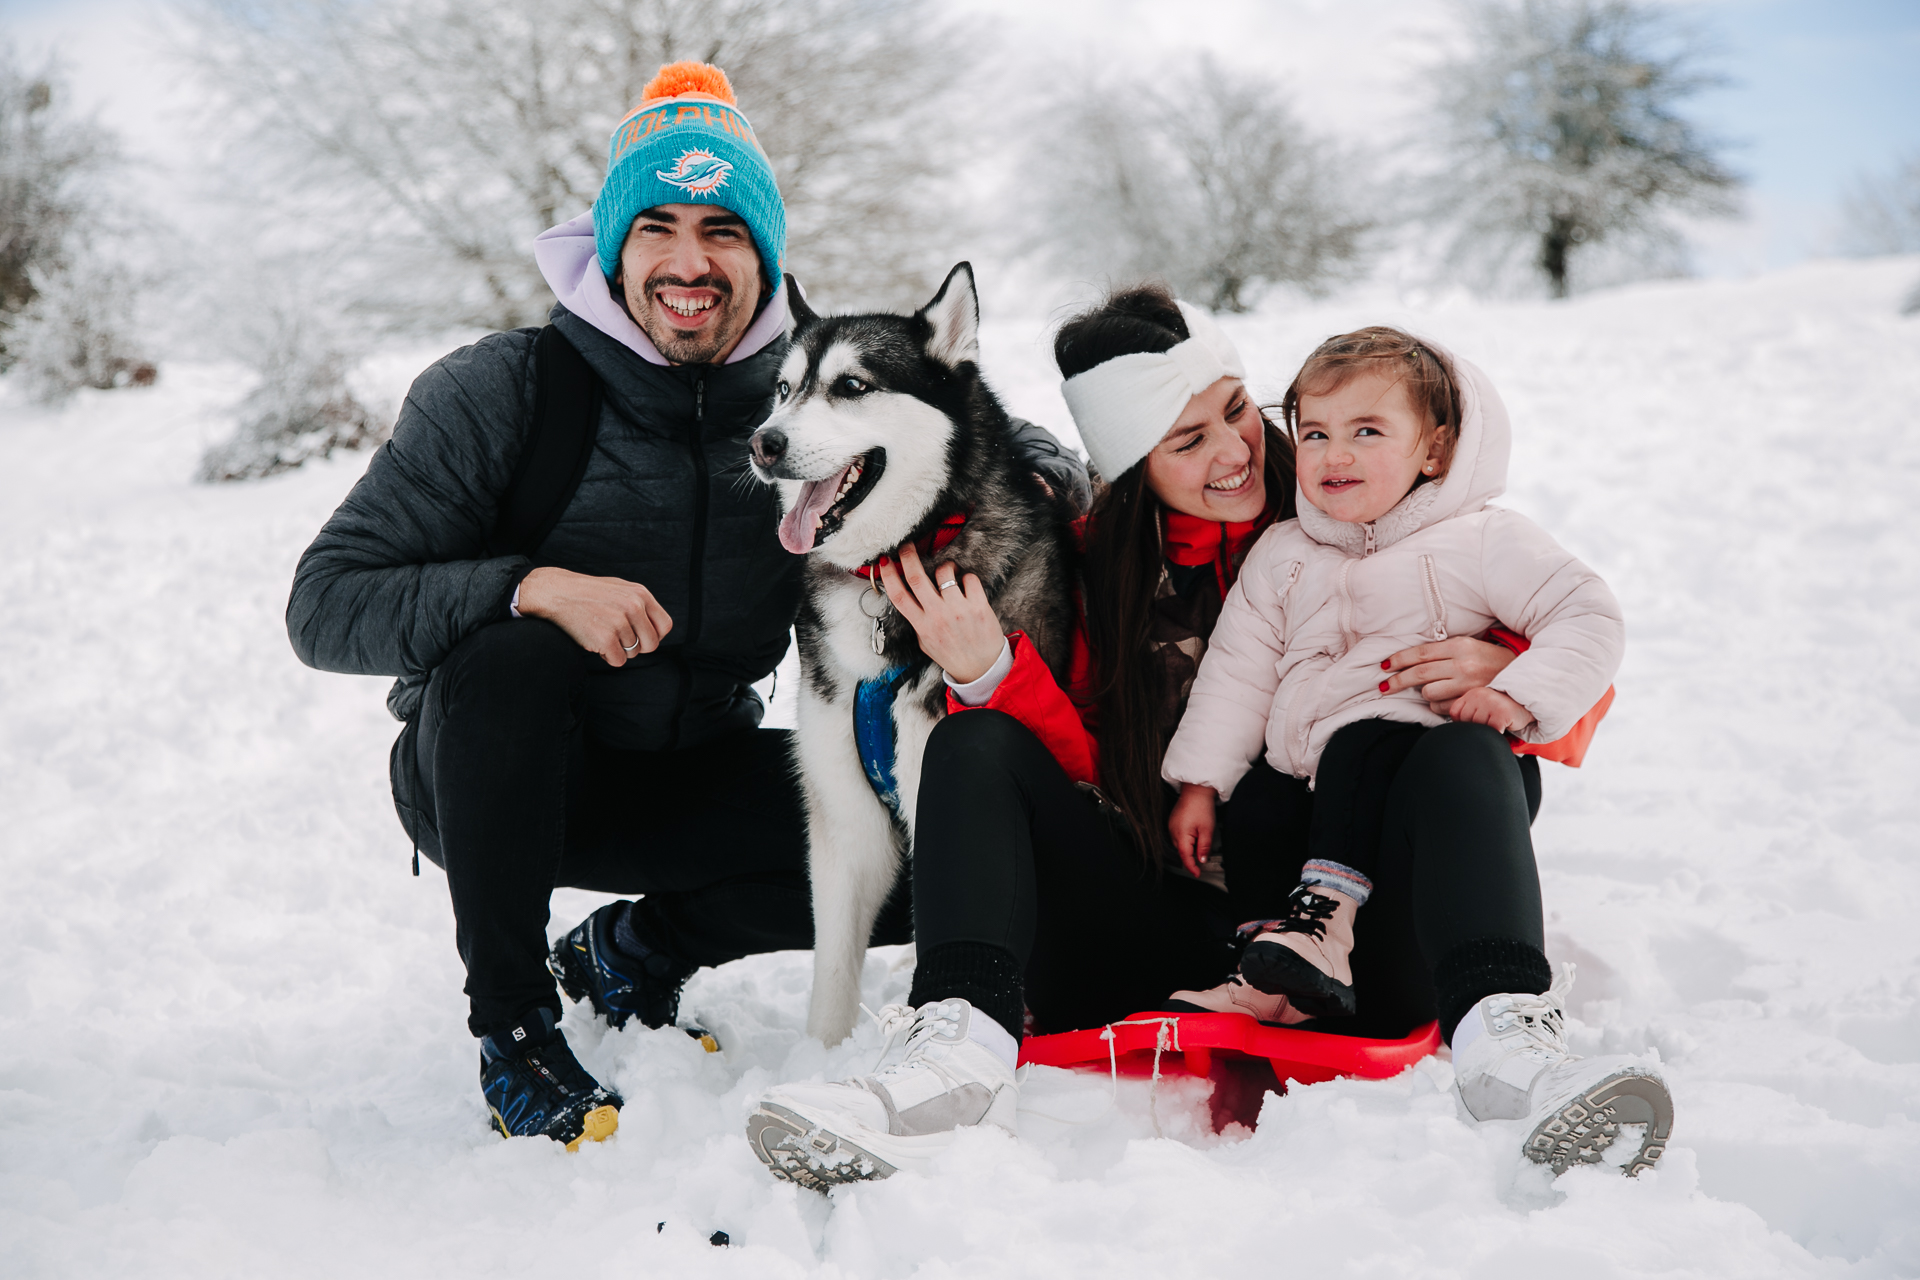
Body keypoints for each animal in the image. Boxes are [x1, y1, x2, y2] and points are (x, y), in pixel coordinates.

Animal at [744, 262, 1075, 1051]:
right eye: (785, 388)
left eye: (851, 385)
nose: (763, 443)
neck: (894, 564)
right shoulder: (844, 822)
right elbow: (832, 977)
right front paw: (821, 1059)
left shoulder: (933, 792)